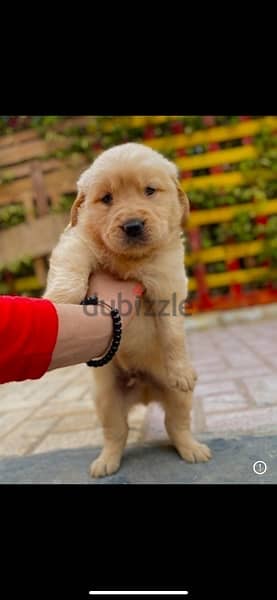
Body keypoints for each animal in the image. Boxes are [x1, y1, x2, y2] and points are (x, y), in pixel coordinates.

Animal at [44, 143, 210, 476]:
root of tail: (143, 389)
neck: (130, 261)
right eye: (107, 198)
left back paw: (192, 449)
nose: (132, 225)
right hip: (106, 398)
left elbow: (172, 333)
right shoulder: (76, 243)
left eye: (150, 191)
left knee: (176, 425)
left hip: (177, 398)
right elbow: (70, 270)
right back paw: (106, 462)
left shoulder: (168, 281)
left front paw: (181, 369)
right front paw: (58, 300)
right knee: (116, 433)